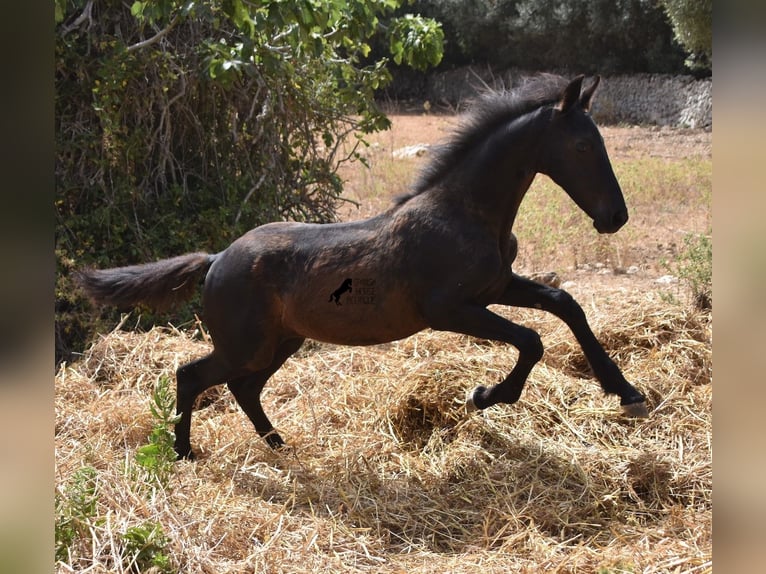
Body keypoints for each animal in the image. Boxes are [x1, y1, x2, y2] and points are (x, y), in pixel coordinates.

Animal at [78, 74, 652, 462]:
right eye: (583, 144)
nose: (615, 217)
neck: (464, 213)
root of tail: (217, 259)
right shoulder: (450, 309)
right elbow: (531, 340)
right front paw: (485, 396)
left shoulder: (496, 286)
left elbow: (565, 304)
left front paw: (626, 393)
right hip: (246, 344)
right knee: (192, 374)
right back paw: (185, 453)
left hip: (281, 341)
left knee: (244, 388)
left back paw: (280, 445)